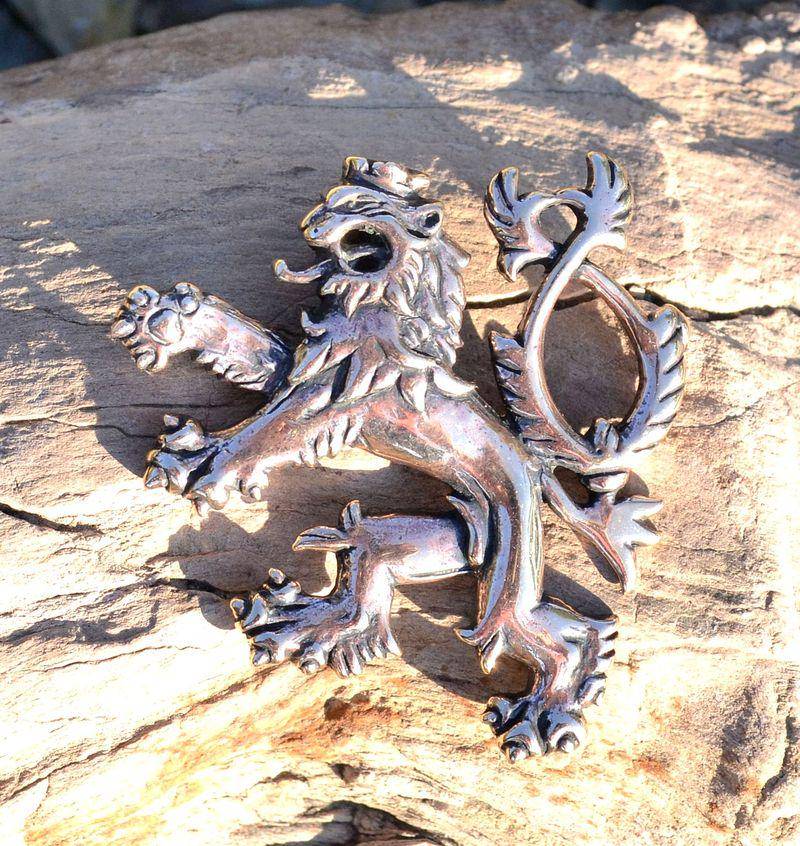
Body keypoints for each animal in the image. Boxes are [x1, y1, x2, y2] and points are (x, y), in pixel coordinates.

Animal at [112, 153, 687, 759]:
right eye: (333, 198)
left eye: (367, 208)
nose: (311, 222)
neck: (378, 307)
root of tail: (536, 468)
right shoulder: (309, 367)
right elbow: (254, 349)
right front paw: (167, 319)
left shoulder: (336, 401)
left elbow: (262, 434)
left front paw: (197, 467)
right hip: (441, 541)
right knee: (363, 572)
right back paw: (298, 623)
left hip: (509, 574)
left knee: (563, 633)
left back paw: (542, 718)